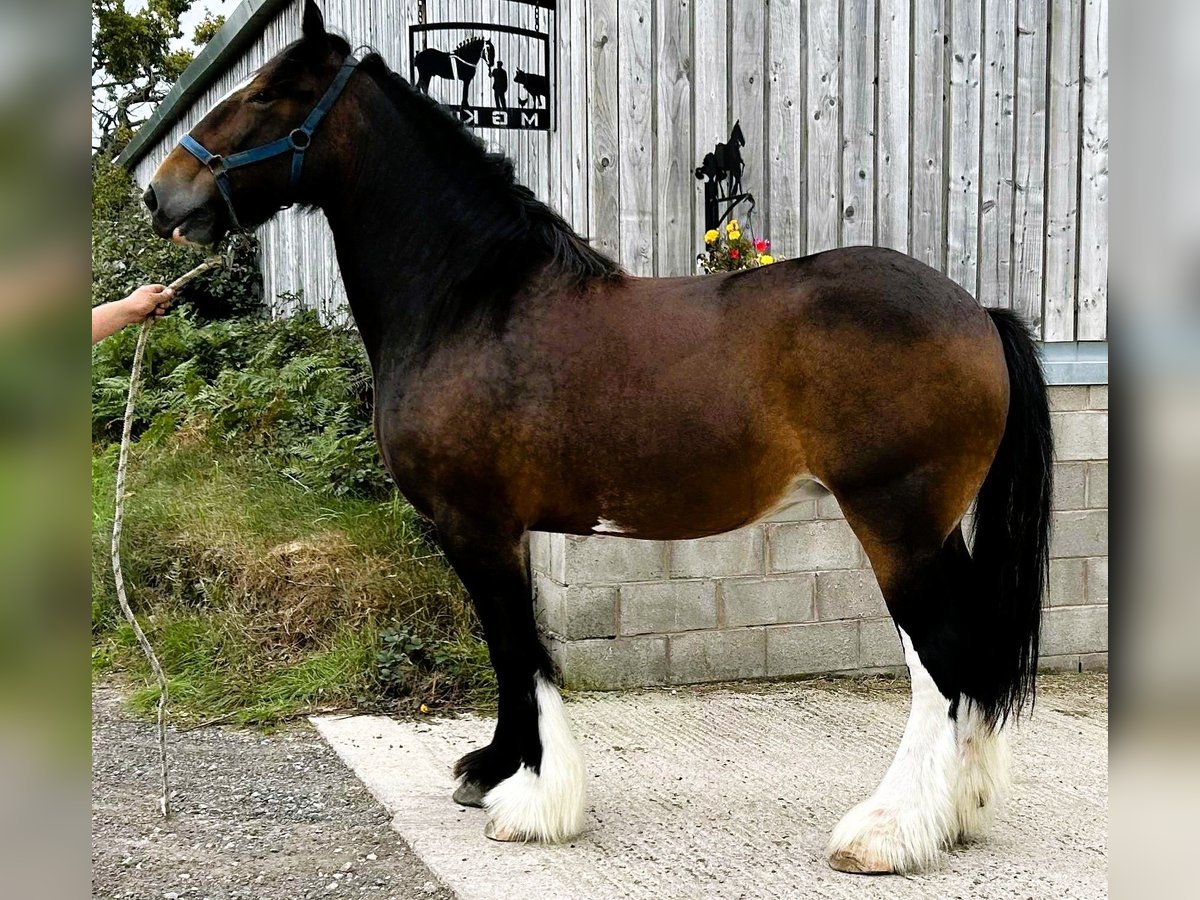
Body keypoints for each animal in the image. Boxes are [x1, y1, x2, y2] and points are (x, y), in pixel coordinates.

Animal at [144, 1, 1052, 875]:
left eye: (268, 95)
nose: (160, 194)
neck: (472, 302)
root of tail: (977, 312)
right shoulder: (498, 530)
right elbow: (508, 648)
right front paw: (493, 770)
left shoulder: (475, 524)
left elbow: (516, 646)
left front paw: (531, 801)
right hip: (935, 532)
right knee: (971, 658)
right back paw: (958, 811)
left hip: (894, 526)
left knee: (941, 664)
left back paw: (886, 833)